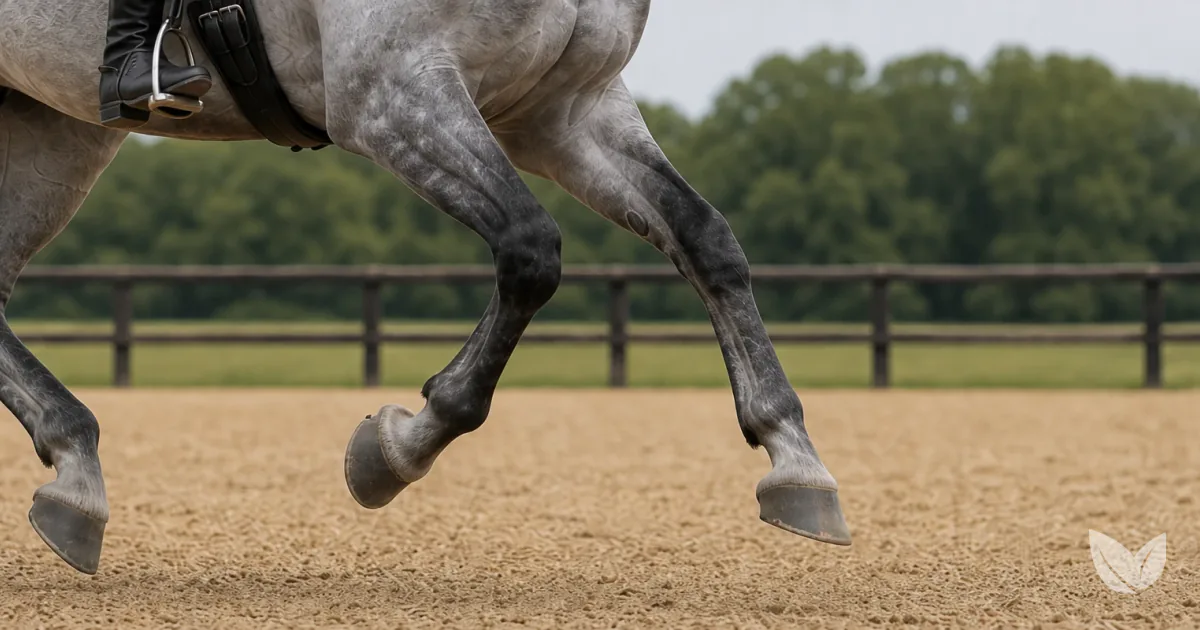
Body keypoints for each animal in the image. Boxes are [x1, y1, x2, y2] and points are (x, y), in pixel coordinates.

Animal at [0, 0, 851, 574]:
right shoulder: (391, 93)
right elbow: (530, 250)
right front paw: (399, 447)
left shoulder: (563, 112)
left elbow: (706, 239)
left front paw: (794, 460)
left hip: (53, 123)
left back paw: (75, 473)